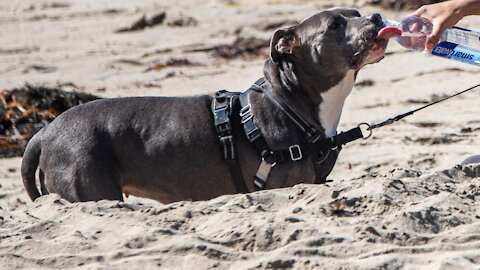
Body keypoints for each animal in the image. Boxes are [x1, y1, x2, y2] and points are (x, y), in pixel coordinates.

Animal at [21, 7, 390, 202]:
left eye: (356, 13)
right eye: (335, 24)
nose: (375, 15)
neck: (290, 100)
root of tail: (44, 134)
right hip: (90, 184)